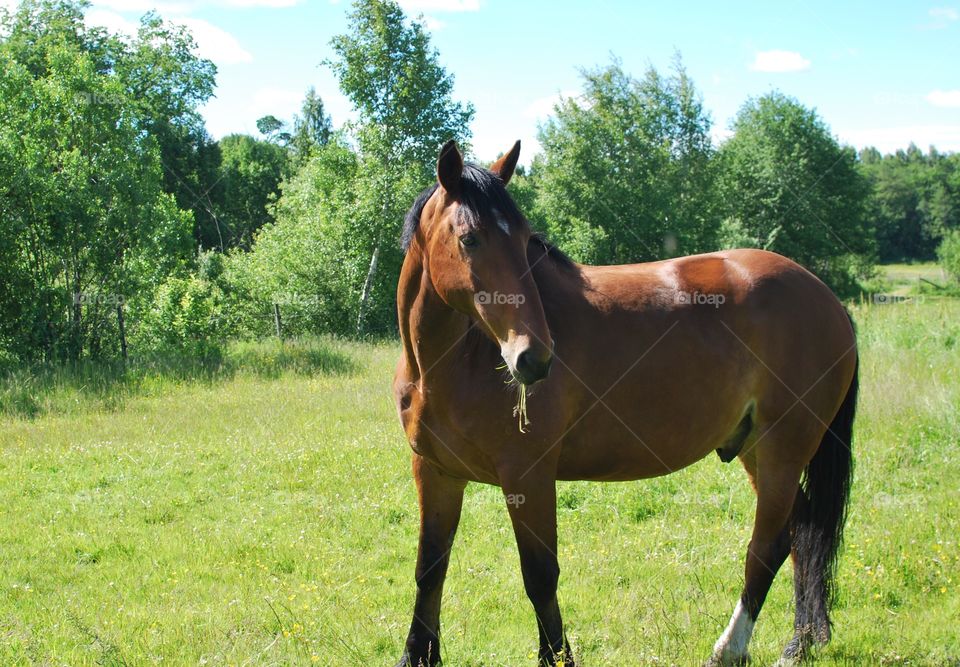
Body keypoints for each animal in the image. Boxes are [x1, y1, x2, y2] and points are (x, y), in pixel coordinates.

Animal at [394, 138, 860, 664]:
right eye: (470, 239)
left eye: (527, 240)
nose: (533, 358)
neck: (448, 365)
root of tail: (827, 298)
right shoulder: (436, 473)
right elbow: (430, 569)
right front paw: (417, 654)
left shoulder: (527, 477)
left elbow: (540, 577)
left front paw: (558, 657)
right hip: (757, 450)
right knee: (801, 532)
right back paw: (803, 639)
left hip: (783, 447)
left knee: (769, 544)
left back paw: (732, 647)